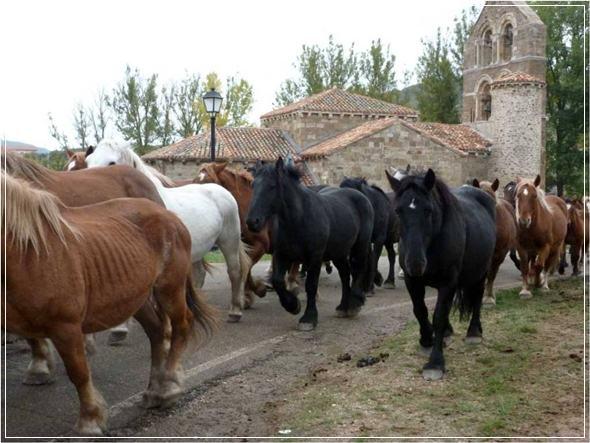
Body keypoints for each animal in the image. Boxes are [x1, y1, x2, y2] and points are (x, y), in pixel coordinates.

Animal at [3, 172, 219, 436]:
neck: (29, 252)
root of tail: (170, 215)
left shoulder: (66, 327)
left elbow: (79, 372)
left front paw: (90, 420)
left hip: (169, 288)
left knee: (181, 325)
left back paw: (168, 387)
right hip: (137, 297)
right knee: (157, 332)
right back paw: (154, 390)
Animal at [84, 141, 251, 322]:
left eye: (112, 163)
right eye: (88, 161)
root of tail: (222, 191)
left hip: (229, 240)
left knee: (234, 271)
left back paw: (235, 311)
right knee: (200, 275)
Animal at [198, 163, 272, 306]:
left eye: (210, 181)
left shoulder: (260, 246)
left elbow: (246, 266)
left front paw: (254, 291)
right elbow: (246, 266)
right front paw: (250, 294)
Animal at [249, 159, 374, 330]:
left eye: (272, 186)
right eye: (253, 185)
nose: (252, 222)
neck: (299, 219)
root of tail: (360, 196)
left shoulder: (314, 258)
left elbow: (311, 285)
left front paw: (309, 318)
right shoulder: (282, 255)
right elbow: (277, 281)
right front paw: (293, 305)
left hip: (359, 246)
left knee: (359, 268)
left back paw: (354, 304)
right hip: (338, 253)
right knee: (345, 274)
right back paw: (343, 307)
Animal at [386, 168, 498, 380]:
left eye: (428, 210)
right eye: (397, 210)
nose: (415, 264)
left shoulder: (448, 282)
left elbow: (438, 316)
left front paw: (435, 362)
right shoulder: (413, 281)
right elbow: (420, 310)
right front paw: (426, 340)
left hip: (480, 272)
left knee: (477, 297)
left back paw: (474, 332)